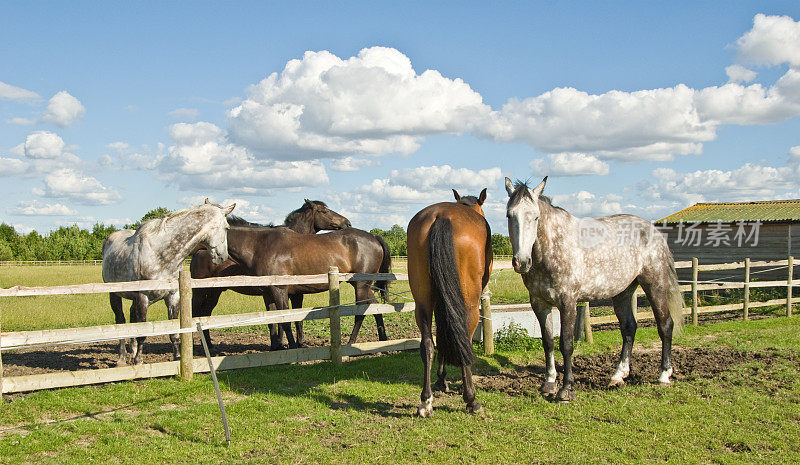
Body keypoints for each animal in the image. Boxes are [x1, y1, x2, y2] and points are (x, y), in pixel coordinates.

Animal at [102, 199, 234, 366]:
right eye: (227, 227)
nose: (223, 256)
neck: (161, 254)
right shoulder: (142, 298)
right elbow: (142, 333)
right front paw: (139, 360)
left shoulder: (173, 297)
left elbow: (174, 333)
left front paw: (177, 358)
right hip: (114, 294)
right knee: (121, 320)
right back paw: (122, 358)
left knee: (132, 318)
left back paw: (132, 351)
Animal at [188, 201, 388, 350]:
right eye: (323, 210)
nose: (347, 222)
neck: (260, 245)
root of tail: (374, 238)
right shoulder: (271, 292)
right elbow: (277, 320)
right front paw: (280, 346)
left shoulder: (280, 290)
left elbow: (285, 320)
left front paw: (291, 346)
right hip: (209, 292)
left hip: (361, 286)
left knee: (362, 312)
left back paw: (352, 343)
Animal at [410, 187, 490, 416]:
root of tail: (442, 216)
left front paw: (440, 379)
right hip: (470, 304)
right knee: (465, 340)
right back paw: (471, 399)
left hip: (423, 302)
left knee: (427, 343)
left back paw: (426, 401)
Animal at [506, 176, 680, 400]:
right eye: (510, 215)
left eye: (535, 217)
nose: (521, 262)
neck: (553, 248)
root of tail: (655, 232)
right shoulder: (539, 303)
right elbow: (548, 342)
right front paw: (549, 383)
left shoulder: (568, 302)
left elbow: (566, 344)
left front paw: (566, 389)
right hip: (623, 292)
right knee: (629, 328)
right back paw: (618, 375)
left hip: (655, 285)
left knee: (665, 325)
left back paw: (664, 375)